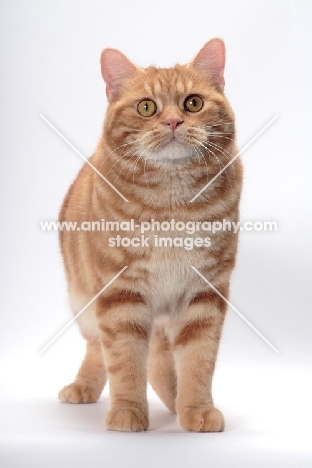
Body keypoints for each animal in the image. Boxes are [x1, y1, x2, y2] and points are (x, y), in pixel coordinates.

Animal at [59, 38, 244, 434]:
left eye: (193, 103)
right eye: (147, 107)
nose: (173, 121)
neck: (171, 203)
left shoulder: (204, 294)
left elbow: (198, 360)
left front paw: (196, 408)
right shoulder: (120, 295)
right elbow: (124, 361)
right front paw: (128, 411)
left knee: (160, 355)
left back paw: (174, 399)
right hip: (84, 298)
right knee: (98, 349)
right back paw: (83, 387)